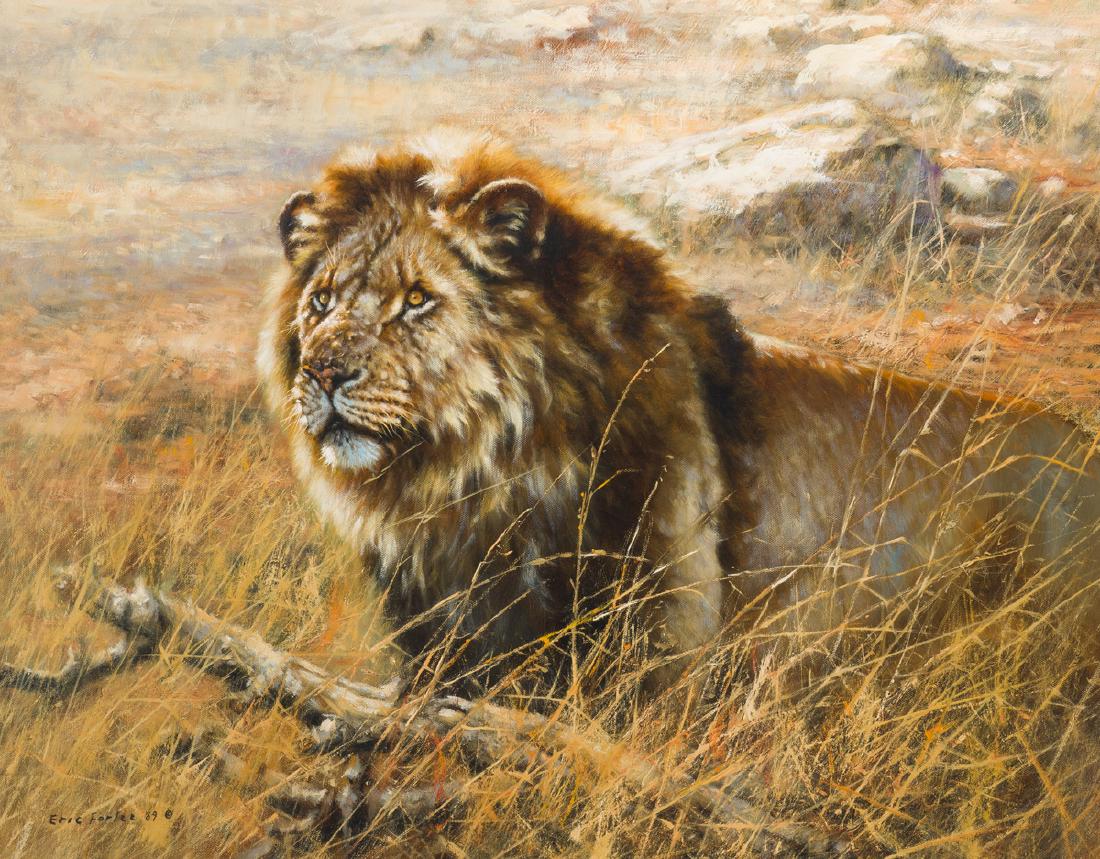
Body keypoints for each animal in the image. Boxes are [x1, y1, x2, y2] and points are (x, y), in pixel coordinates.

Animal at [258, 131, 1100, 693]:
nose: (325, 371)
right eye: (322, 302)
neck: (475, 478)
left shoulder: (665, 621)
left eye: (417, 300)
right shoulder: (434, 630)